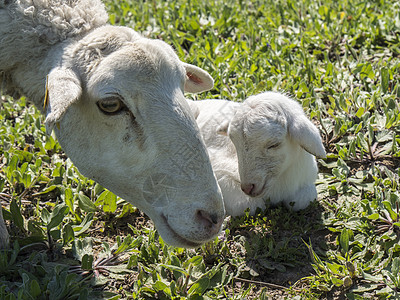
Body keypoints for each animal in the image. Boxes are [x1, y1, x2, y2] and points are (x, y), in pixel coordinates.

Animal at [189, 92, 326, 217]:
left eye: (274, 144)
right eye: (235, 143)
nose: (247, 188)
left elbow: (303, 200)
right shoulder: (218, 169)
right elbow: (250, 205)